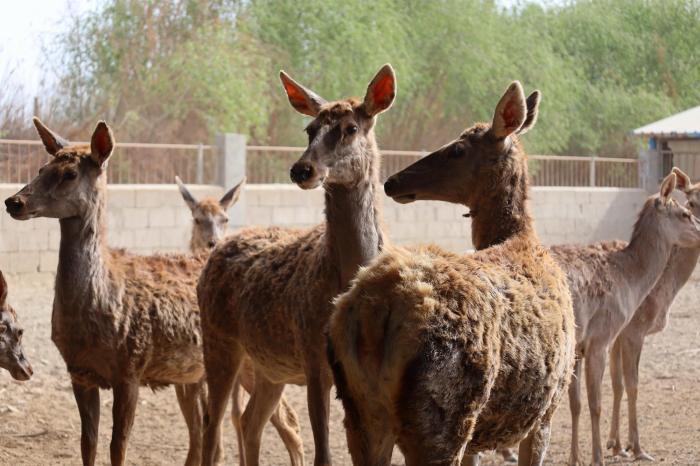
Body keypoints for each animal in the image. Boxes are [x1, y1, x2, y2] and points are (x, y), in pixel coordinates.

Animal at [4, 119, 221, 466]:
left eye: (70, 173)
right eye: (42, 167)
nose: (14, 201)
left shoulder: (130, 368)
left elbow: (118, 445)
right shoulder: (79, 372)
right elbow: (88, 443)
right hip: (192, 375)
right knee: (203, 429)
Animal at [197, 63, 396, 464]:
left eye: (351, 128)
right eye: (309, 129)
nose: (302, 169)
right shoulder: (313, 355)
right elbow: (324, 454)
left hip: (267, 367)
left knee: (249, 421)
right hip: (218, 339)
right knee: (214, 426)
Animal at [326, 83, 576, 466]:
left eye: (458, 149)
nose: (393, 182)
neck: (522, 239)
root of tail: (374, 313)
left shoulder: (481, 437)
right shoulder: (546, 410)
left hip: (359, 411)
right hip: (442, 412)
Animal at [548, 171, 700, 466]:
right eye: (686, 211)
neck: (630, 281)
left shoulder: (582, 346)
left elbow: (578, 402)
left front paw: (578, 457)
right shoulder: (605, 336)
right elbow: (603, 399)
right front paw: (611, 454)